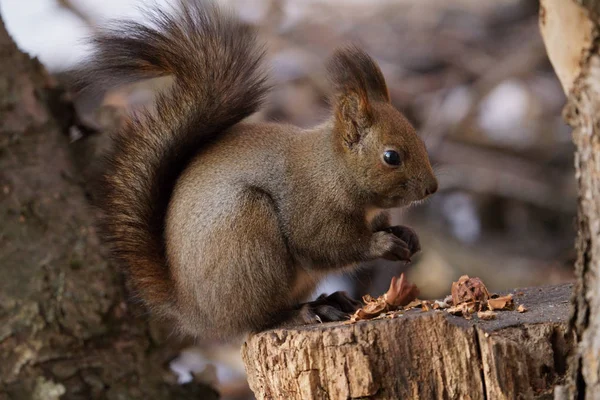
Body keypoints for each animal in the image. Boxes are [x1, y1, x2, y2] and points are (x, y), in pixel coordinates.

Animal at [77, 0, 438, 340]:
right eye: (391, 157)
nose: (431, 188)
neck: (332, 170)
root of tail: (195, 313)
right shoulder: (309, 208)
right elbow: (325, 245)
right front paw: (382, 245)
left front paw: (405, 234)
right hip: (248, 238)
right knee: (258, 321)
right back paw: (305, 312)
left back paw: (329, 300)